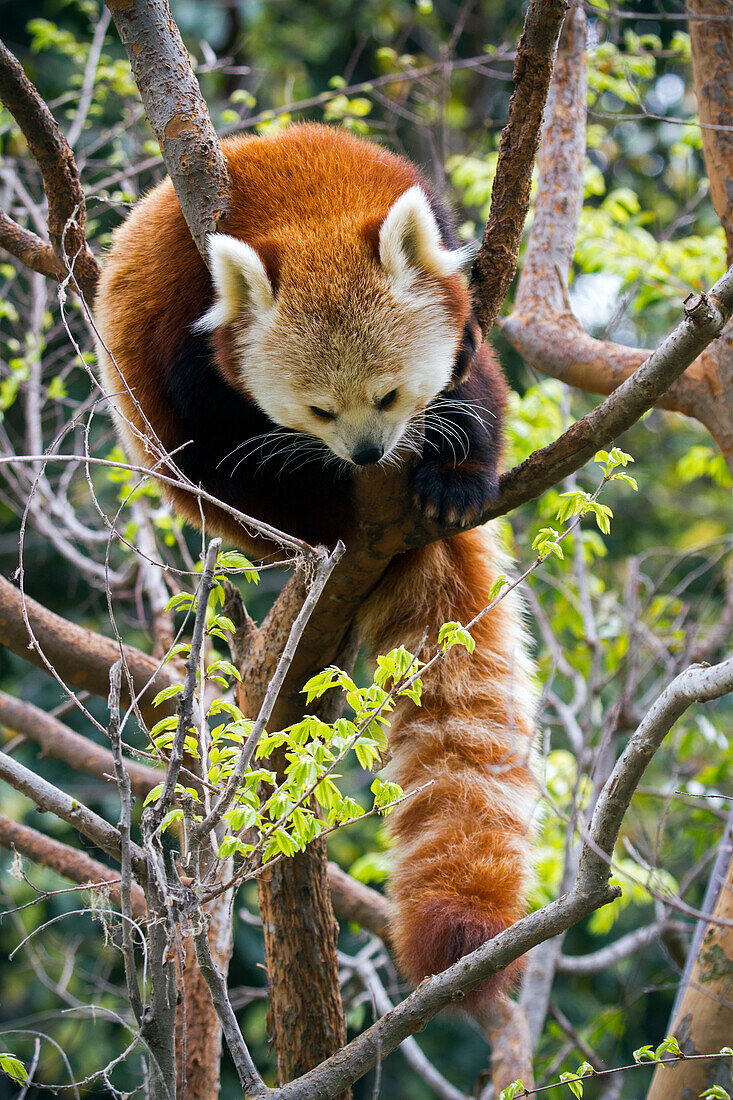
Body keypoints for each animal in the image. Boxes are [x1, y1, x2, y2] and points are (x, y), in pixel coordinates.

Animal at [94, 124, 534, 1007]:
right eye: (320, 410)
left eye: (391, 395)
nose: (367, 454)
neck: (304, 208)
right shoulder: (183, 332)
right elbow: (217, 426)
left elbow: (471, 374)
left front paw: (453, 464)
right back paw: (323, 518)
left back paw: (447, 483)